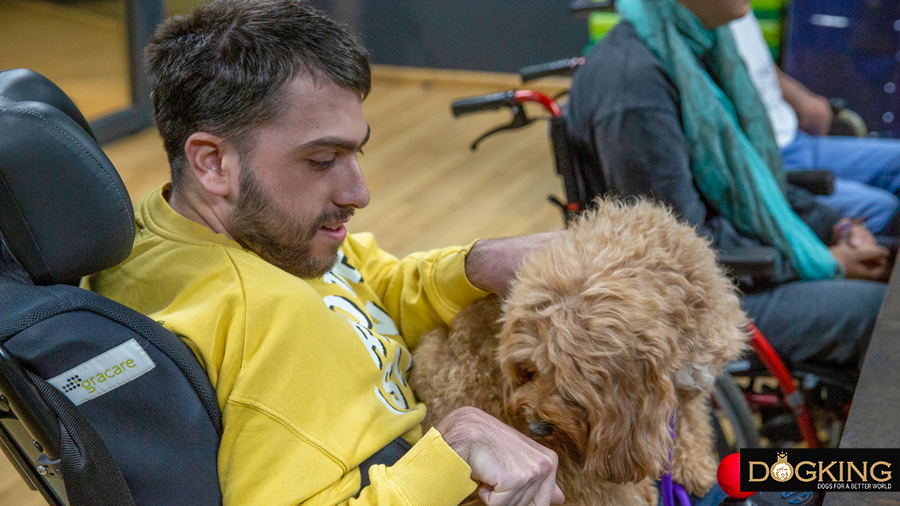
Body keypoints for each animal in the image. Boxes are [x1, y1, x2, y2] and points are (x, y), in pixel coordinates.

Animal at [412, 198, 748, 506]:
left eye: (570, 387)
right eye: (527, 371)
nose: (535, 427)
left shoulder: (687, 389)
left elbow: (688, 426)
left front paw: (694, 467)